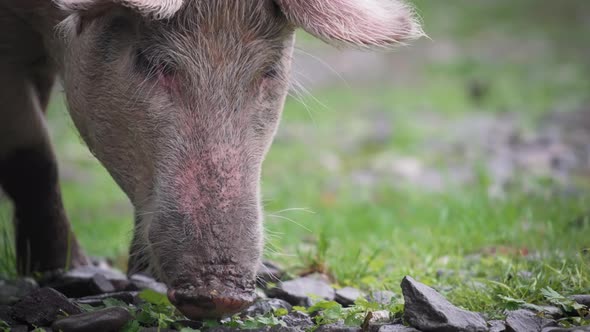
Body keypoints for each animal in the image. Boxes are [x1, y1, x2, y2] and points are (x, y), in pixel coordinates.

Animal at [1, 0, 426, 318]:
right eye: (150, 60)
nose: (220, 295)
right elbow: (32, 155)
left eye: (269, 70)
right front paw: (60, 271)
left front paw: (136, 276)